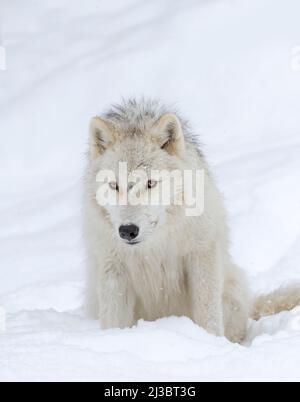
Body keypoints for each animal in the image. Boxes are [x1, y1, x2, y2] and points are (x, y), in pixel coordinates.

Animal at [84, 98, 300, 342]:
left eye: (150, 183)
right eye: (114, 185)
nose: (127, 230)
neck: (154, 244)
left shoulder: (201, 254)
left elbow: (208, 313)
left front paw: (211, 342)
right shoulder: (113, 267)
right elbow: (113, 321)